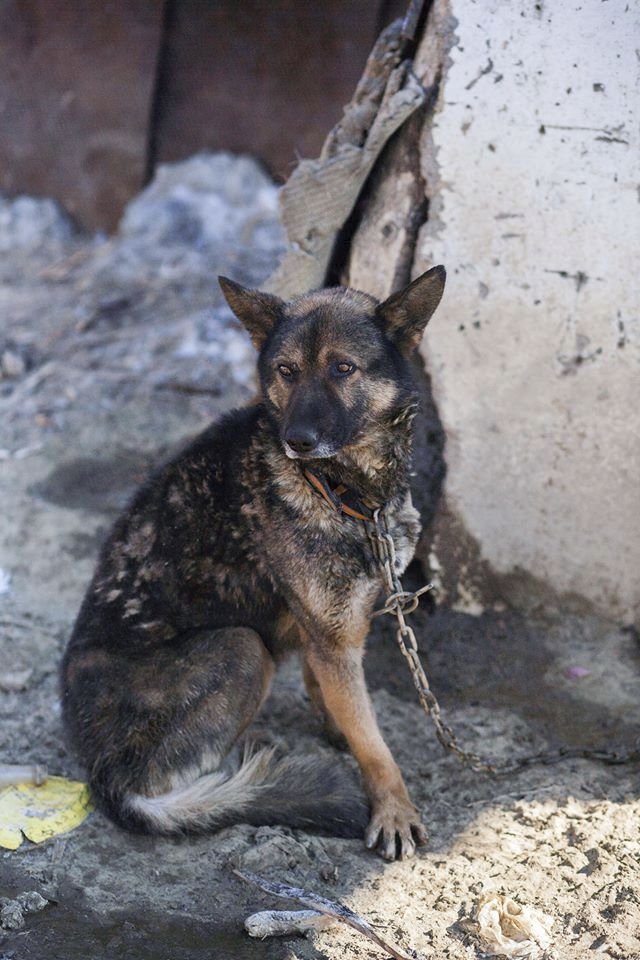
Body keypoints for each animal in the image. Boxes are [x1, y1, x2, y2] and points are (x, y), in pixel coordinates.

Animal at [62, 264, 448, 864]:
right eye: (286, 371)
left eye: (343, 368)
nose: (297, 440)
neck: (340, 489)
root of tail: (105, 783)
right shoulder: (334, 637)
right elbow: (375, 745)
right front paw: (393, 808)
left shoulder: (332, 631)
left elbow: (337, 698)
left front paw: (336, 727)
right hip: (241, 650)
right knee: (167, 781)